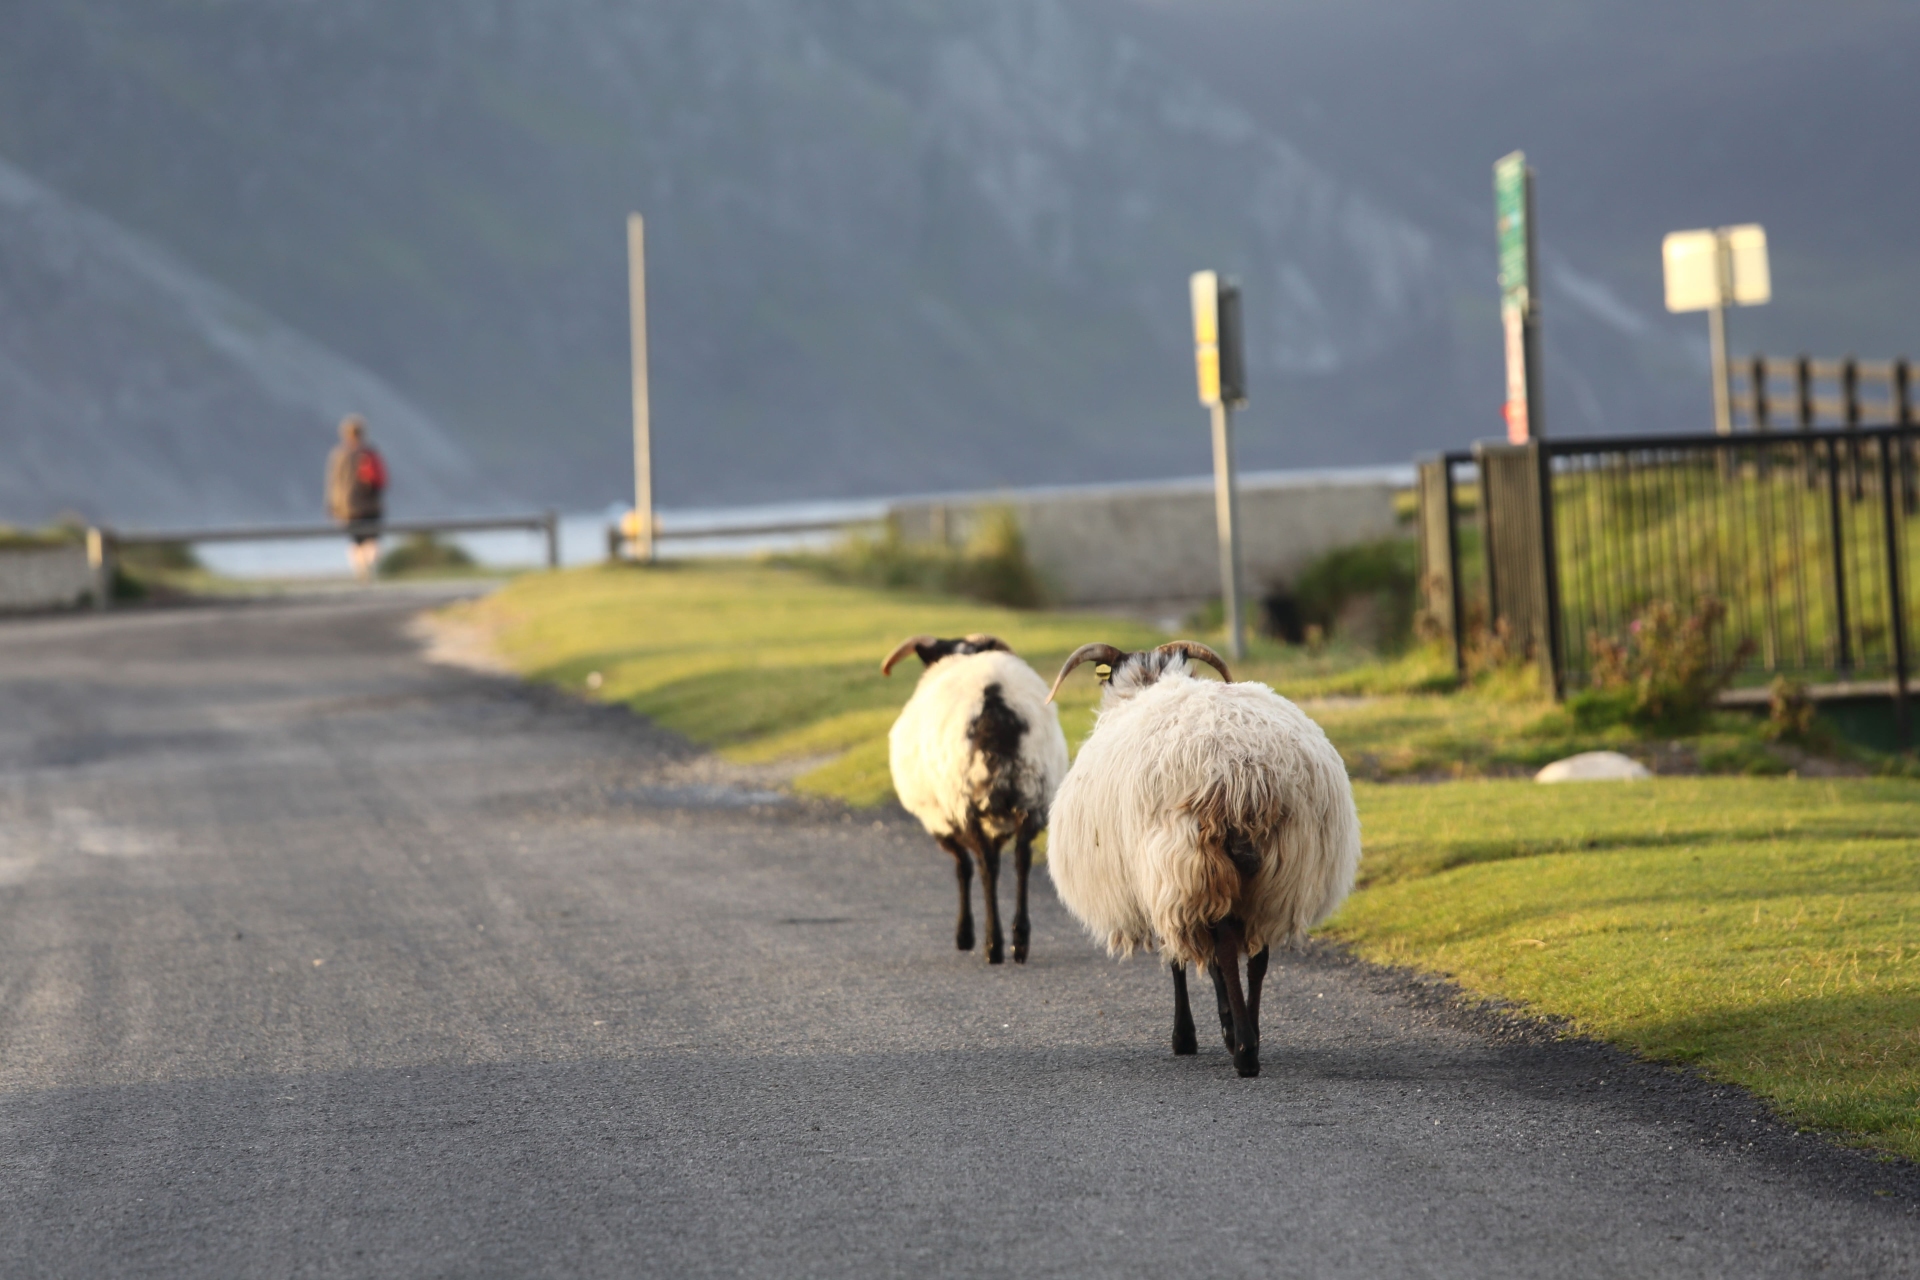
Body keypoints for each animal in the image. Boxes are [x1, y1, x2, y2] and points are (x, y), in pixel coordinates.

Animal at [882, 633, 1069, 964]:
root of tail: (993, 697)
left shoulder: (939, 820)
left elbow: (963, 868)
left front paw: (964, 935)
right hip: (1034, 793)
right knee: (1021, 858)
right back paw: (1019, 940)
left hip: (962, 800)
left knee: (986, 866)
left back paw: (993, 945)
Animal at [1042, 640, 1360, 1076]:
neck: (1149, 682)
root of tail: (1245, 776)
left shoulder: (1160, 881)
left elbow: (1180, 961)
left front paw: (1188, 1037)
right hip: (1280, 872)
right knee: (1258, 955)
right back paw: (1252, 1033)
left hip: (1191, 861)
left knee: (1224, 948)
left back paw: (1244, 1049)